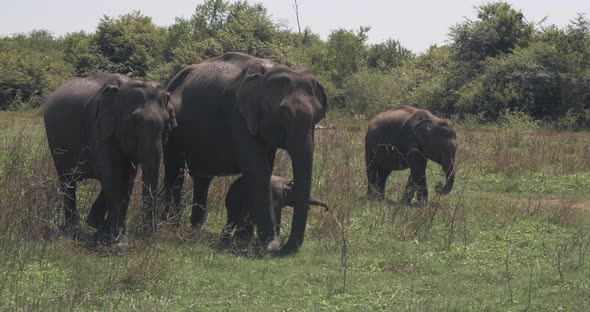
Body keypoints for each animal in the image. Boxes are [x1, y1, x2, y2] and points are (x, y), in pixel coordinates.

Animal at [44, 73, 176, 244]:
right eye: (135, 122)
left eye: (167, 123)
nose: (148, 237)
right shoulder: (99, 128)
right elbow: (112, 176)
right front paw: (114, 240)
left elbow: (128, 179)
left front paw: (105, 231)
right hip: (55, 143)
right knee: (67, 181)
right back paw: (73, 231)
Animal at [164, 51, 326, 254]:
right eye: (283, 114)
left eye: (318, 115)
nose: (283, 247)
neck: (265, 76)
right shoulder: (238, 114)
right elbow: (257, 169)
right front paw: (269, 245)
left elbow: (264, 169)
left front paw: (245, 240)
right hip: (173, 127)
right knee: (175, 171)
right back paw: (171, 227)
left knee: (202, 178)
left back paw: (199, 231)